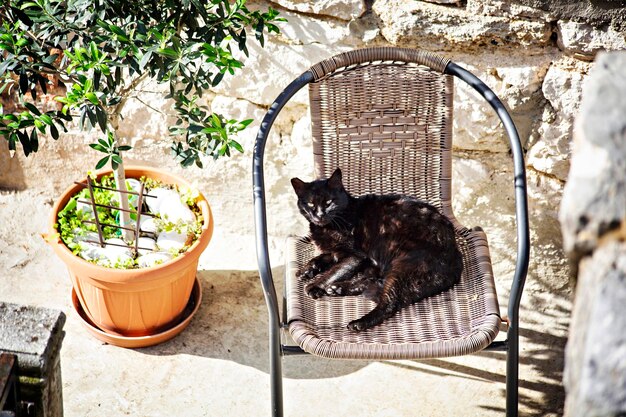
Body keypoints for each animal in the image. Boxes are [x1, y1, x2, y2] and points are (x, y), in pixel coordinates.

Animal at [290, 167, 460, 330]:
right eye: (310, 204)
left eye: (328, 202)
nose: (319, 215)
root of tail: (456, 259)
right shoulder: (336, 252)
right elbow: (320, 258)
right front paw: (305, 271)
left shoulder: (356, 256)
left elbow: (333, 271)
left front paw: (314, 285)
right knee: (375, 282)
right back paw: (338, 289)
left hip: (404, 266)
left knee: (389, 303)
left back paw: (358, 323)